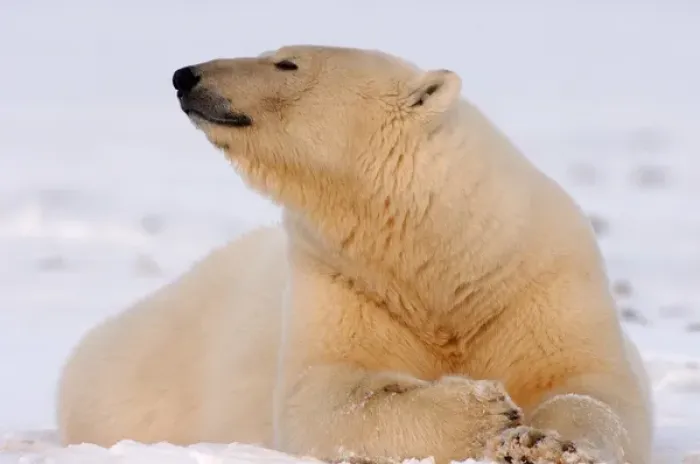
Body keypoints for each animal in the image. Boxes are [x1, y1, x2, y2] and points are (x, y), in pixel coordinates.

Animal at [56, 45, 653, 464]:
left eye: (287, 62)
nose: (187, 75)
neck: (449, 257)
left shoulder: (539, 281)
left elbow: (592, 387)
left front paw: (543, 442)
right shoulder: (342, 281)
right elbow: (328, 399)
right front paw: (484, 411)